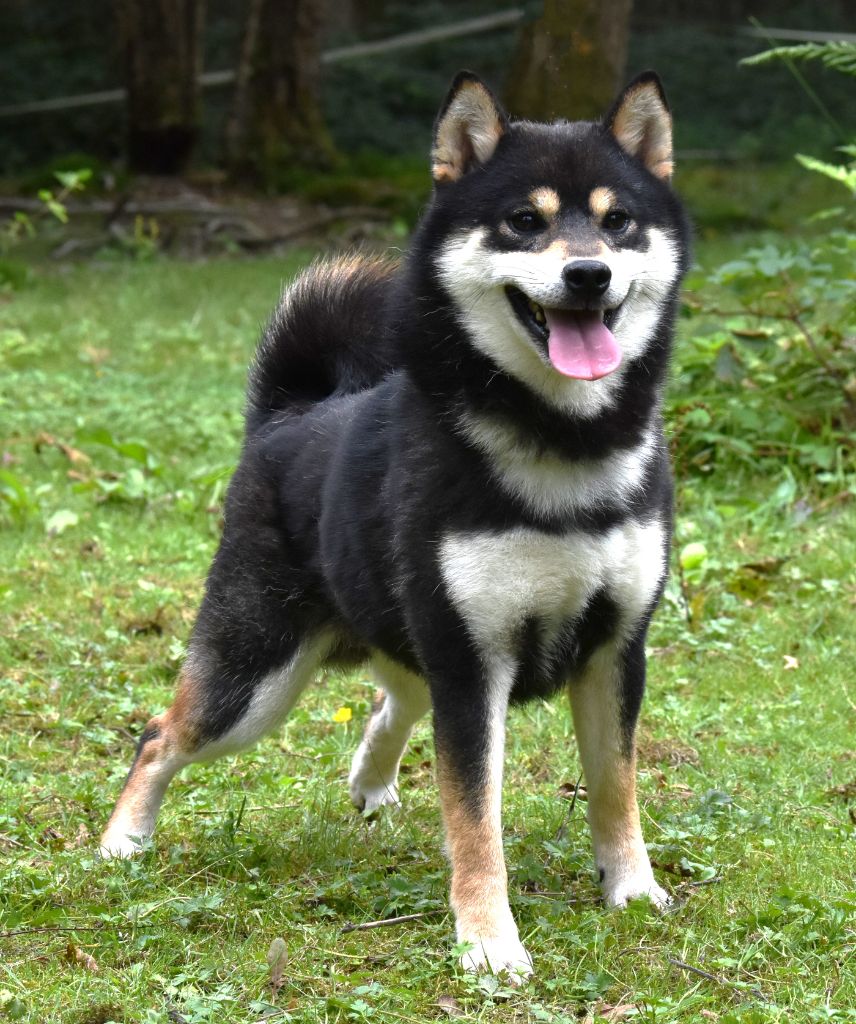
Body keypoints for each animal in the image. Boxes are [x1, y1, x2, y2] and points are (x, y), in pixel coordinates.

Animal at [101, 68, 688, 978]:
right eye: (524, 220)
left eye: (618, 219)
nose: (589, 273)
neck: (564, 447)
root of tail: (286, 415)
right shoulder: (473, 665)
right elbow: (475, 818)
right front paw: (488, 941)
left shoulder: (614, 650)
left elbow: (616, 790)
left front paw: (632, 890)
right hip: (256, 676)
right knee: (162, 734)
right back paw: (125, 840)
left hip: (399, 640)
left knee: (391, 700)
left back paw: (372, 782)